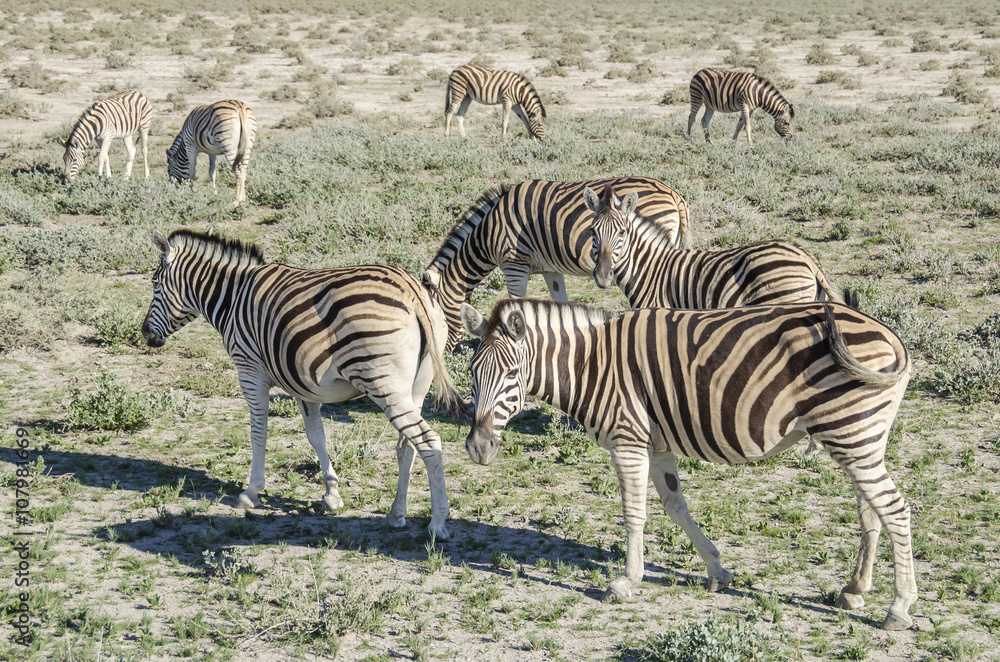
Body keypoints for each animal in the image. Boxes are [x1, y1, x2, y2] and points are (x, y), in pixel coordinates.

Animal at [141, 230, 464, 539]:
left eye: (155, 283)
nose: (145, 334)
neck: (232, 297)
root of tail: (412, 290)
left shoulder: (249, 370)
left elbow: (259, 432)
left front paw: (251, 491)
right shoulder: (302, 383)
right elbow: (316, 436)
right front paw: (332, 494)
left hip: (383, 382)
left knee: (428, 441)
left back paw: (437, 524)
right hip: (416, 386)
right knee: (408, 444)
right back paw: (396, 515)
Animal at [422, 177, 689, 351]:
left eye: (435, 322)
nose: (440, 356)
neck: (489, 233)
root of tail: (673, 193)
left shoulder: (514, 264)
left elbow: (515, 303)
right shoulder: (550, 270)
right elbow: (561, 302)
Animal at [460, 298, 916, 631]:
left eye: (512, 374)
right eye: (471, 371)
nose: (478, 448)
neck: (592, 366)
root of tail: (890, 335)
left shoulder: (628, 439)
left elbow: (634, 512)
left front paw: (627, 582)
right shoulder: (657, 444)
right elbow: (675, 508)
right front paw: (717, 569)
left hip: (851, 433)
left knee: (894, 509)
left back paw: (899, 608)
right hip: (857, 438)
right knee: (871, 511)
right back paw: (854, 589)